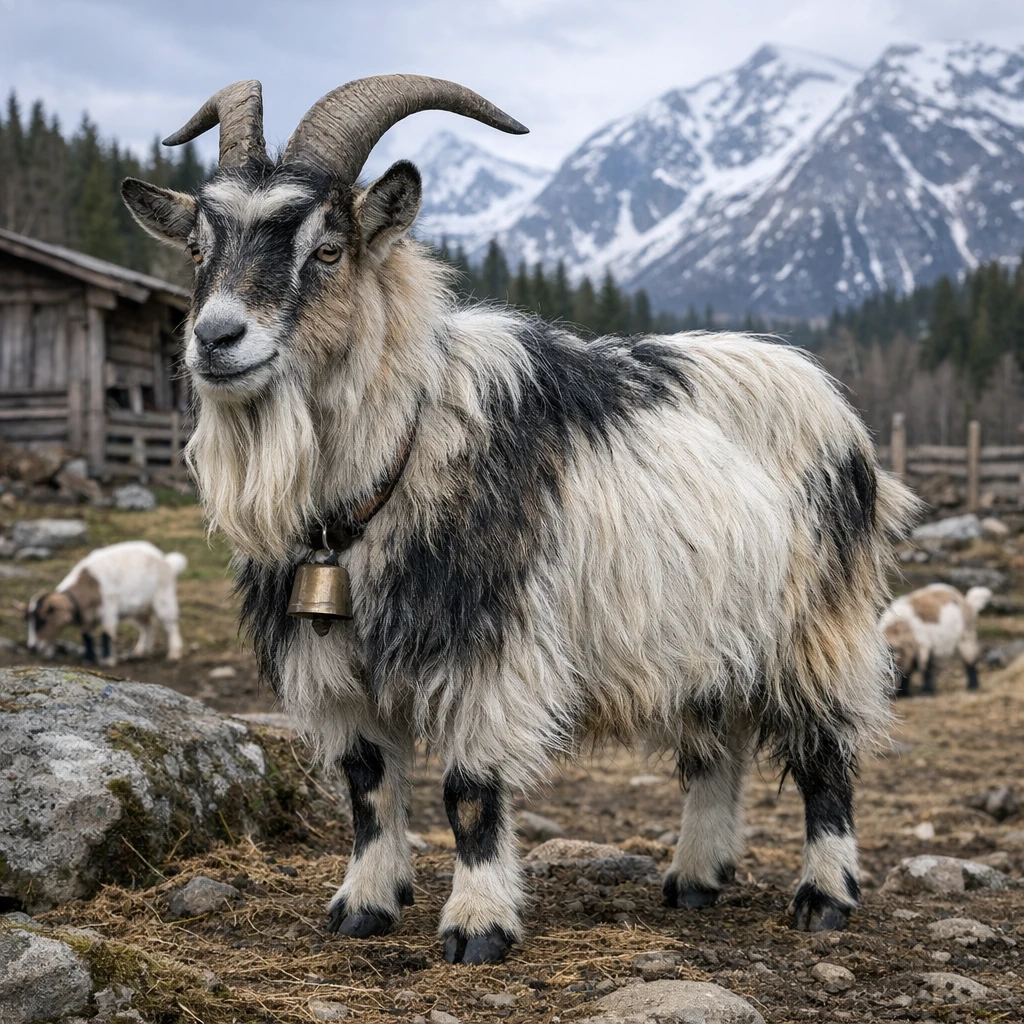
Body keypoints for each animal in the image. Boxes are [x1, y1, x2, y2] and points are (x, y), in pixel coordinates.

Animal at [24, 541, 186, 666]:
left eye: (43, 621)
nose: (32, 647)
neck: (90, 583)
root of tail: (166, 561)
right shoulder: (86, 617)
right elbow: (87, 636)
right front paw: (89, 659)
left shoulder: (109, 607)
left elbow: (107, 633)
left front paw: (108, 660)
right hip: (139, 608)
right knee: (147, 625)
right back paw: (140, 651)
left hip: (163, 597)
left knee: (170, 624)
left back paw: (174, 654)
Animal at [121, 76, 919, 964]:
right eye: (198, 249)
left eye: (327, 250)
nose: (216, 338)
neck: (397, 455)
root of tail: (826, 395)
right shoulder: (332, 664)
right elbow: (367, 786)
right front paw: (364, 905)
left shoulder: (489, 653)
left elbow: (471, 791)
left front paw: (477, 924)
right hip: (707, 634)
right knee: (715, 752)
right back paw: (693, 879)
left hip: (818, 623)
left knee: (827, 756)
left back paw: (824, 896)